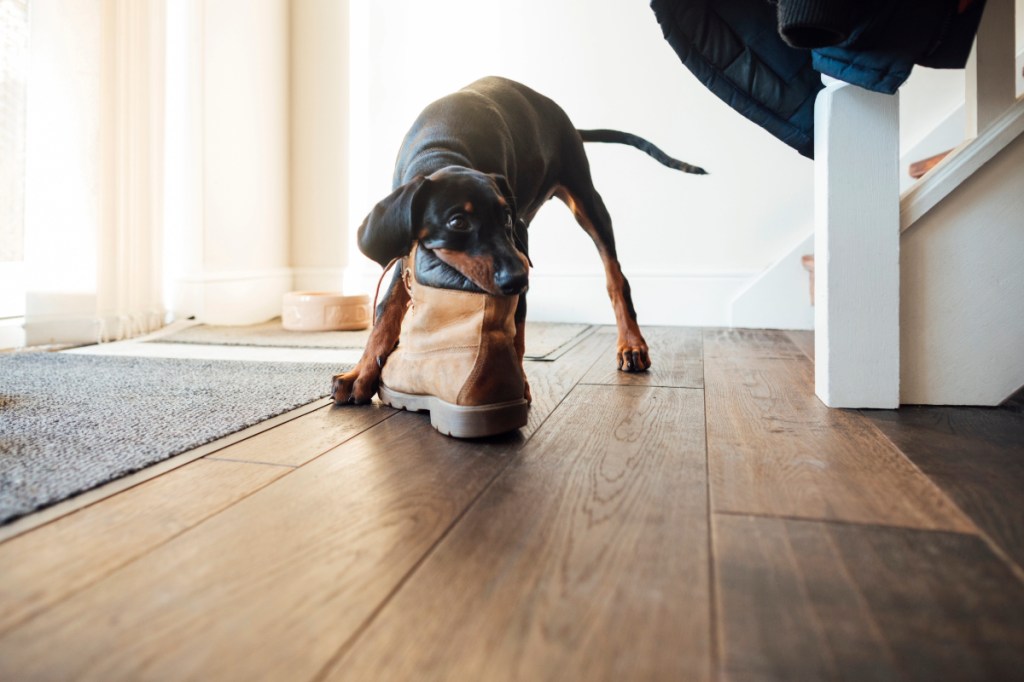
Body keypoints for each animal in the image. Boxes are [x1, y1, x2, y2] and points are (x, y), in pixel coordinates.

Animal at [331, 74, 708, 403]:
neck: (442, 150)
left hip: (586, 200)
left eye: (506, 218)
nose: (517, 279)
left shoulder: (519, 243)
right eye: (458, 222)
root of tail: (567, 122)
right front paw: (360, 375)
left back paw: (631, 344)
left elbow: (516, 328)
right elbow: (386, 311)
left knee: (615, 275)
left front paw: (514, 384)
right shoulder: (408, 249)